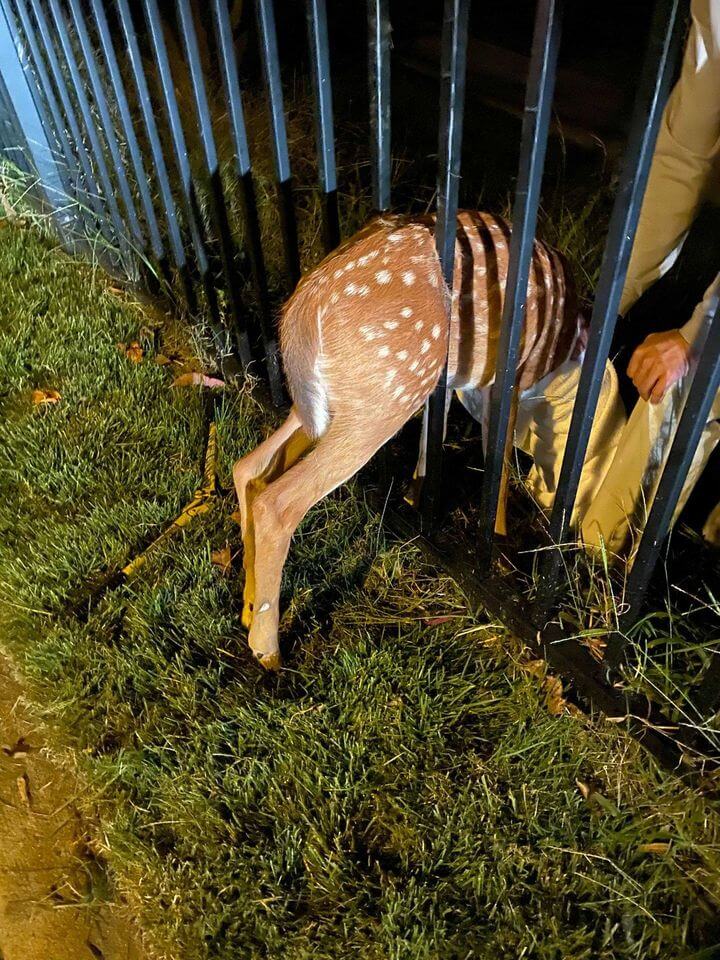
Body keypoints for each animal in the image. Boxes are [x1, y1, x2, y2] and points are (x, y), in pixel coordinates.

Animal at [232, 211, 583, 670]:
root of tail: (303, 308)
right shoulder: (506, 383)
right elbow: (499, 462)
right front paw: (502, 539)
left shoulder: (449, 381)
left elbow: (437, 434)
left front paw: (415, 495)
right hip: (384, 396)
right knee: (277, 502)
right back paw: (267, 648)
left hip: (340, 401)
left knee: (248, 469)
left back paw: (247, 606)